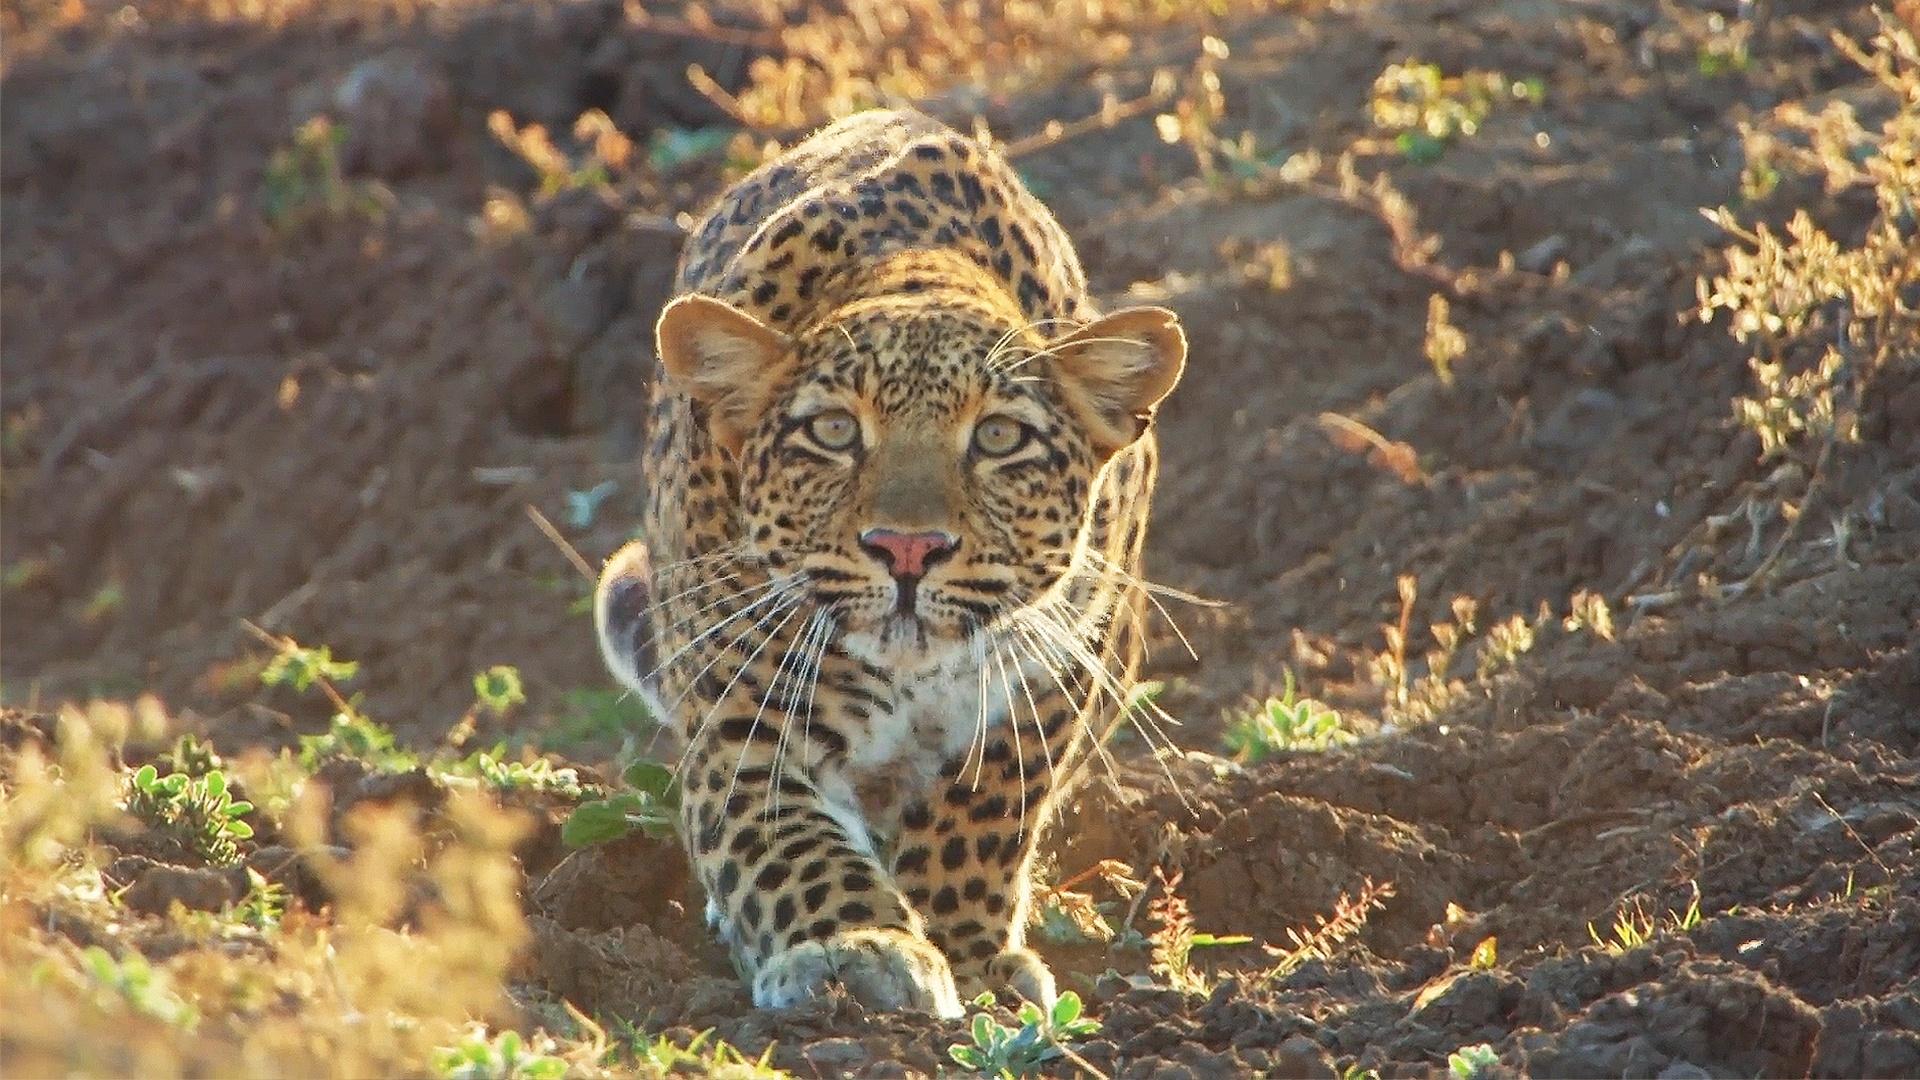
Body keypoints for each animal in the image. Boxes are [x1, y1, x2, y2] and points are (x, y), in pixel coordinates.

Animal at [591, 111, 1182, 1014]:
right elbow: (788, 844)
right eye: (833, 431)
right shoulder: (742, 718)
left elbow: (983, 813)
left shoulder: (1064, 667)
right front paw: (855, 946)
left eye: (999, 437)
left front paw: (970, 958)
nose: (909, 548)